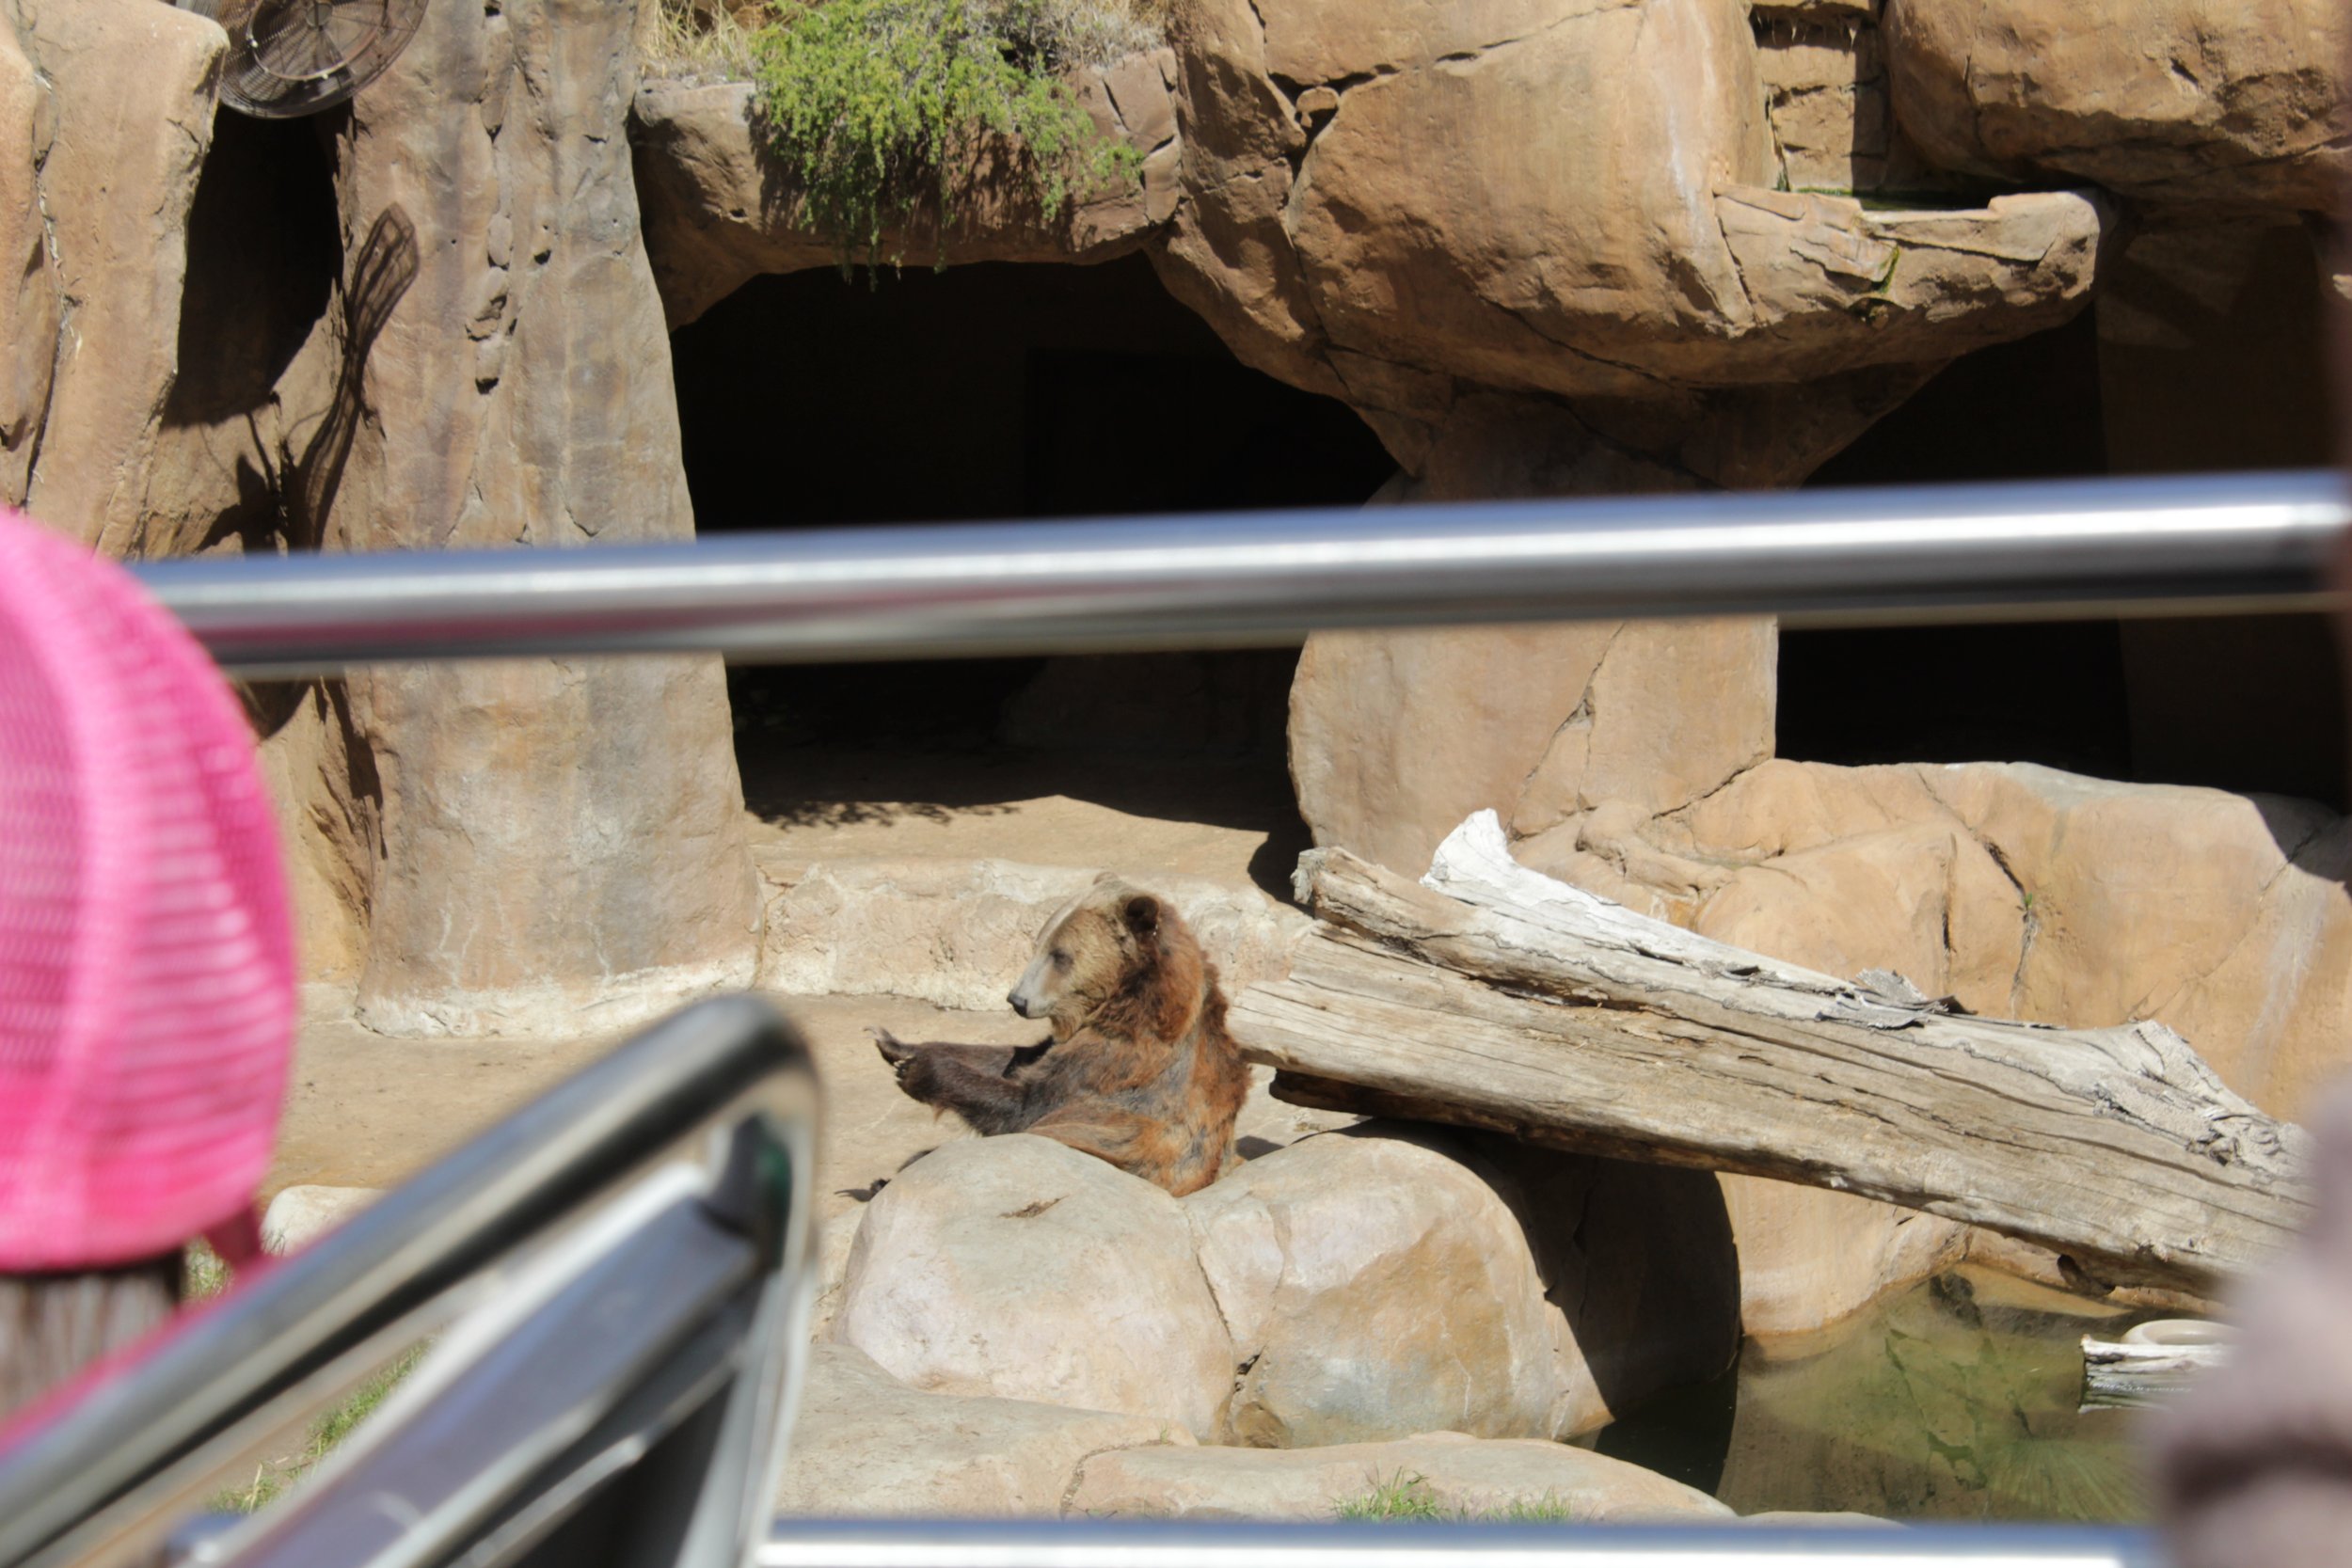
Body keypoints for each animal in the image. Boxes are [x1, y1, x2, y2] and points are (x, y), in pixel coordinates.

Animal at [870, 869, 1251, 1203]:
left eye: (1060, 955)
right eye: (1038, 944)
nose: (1017, 1000)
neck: (1126, 1000)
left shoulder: (1120, 1061)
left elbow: (1027, 1106)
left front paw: (917, 1070)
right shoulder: (1069, 1045)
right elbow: (1016, 1058)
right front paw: (894, 1044)